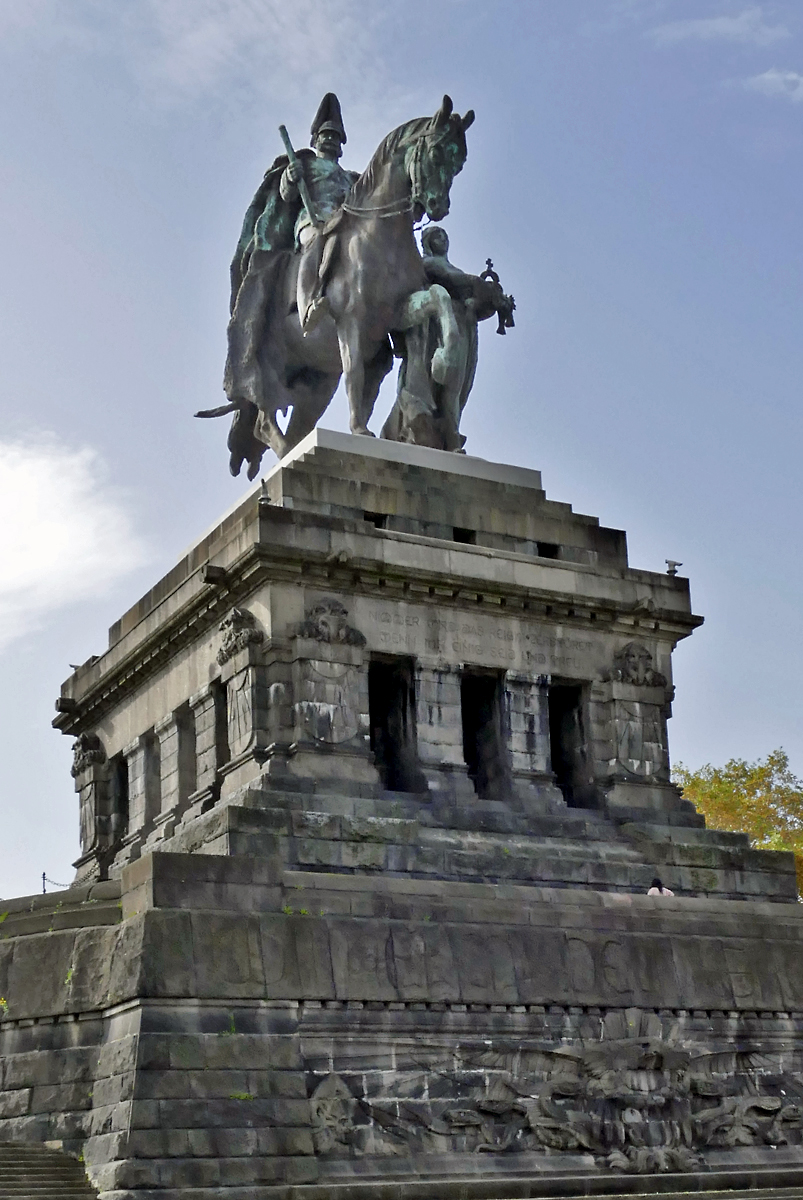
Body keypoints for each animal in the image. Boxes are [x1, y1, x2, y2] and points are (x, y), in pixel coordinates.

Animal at [206, 96, 472, 475]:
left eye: (458, 162)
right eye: (436, 152)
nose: (438, 206)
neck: (380, 236)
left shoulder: (398, 312)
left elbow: (440, 296)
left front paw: (444, 362)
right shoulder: (351, 321)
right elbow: (354, 372)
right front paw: (359, 430)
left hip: (315, 381)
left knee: (298, 420)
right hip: (273, 366)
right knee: (263, 419)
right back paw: (288, 454)